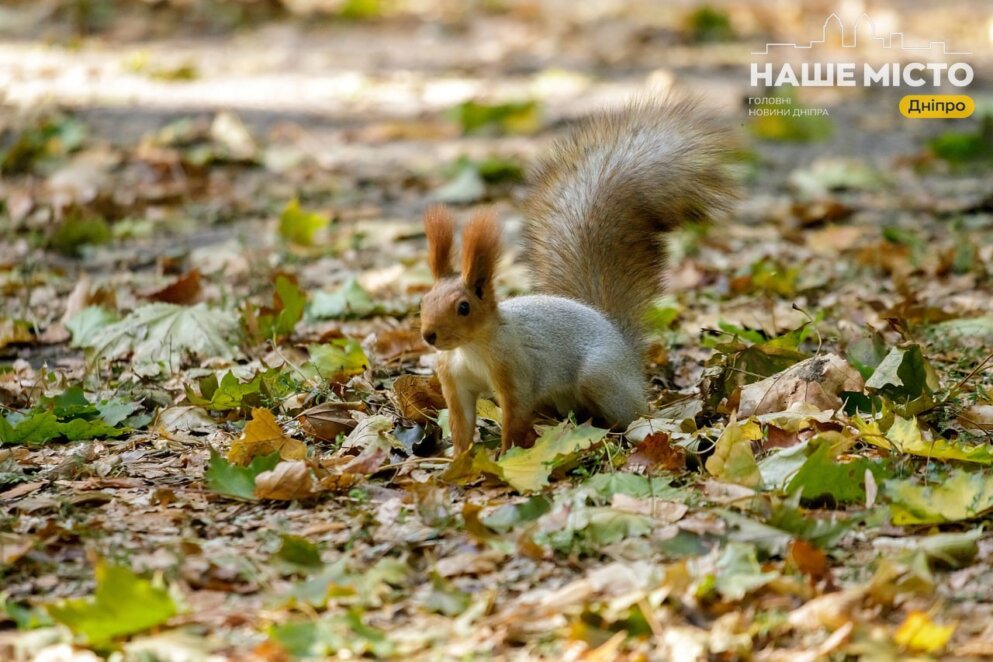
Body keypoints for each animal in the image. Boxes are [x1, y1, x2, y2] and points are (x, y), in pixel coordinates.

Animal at [418, 98, 736, 460]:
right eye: (423, 302)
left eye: (464, 307)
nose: (429, 335)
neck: (470, 348)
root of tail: (625, 349)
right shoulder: (454, 382)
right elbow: (461, 423)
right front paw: (458, 459)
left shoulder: (515, 370)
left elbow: (514, 415)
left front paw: (506, 457)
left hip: (600, 376)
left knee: (634, 414)